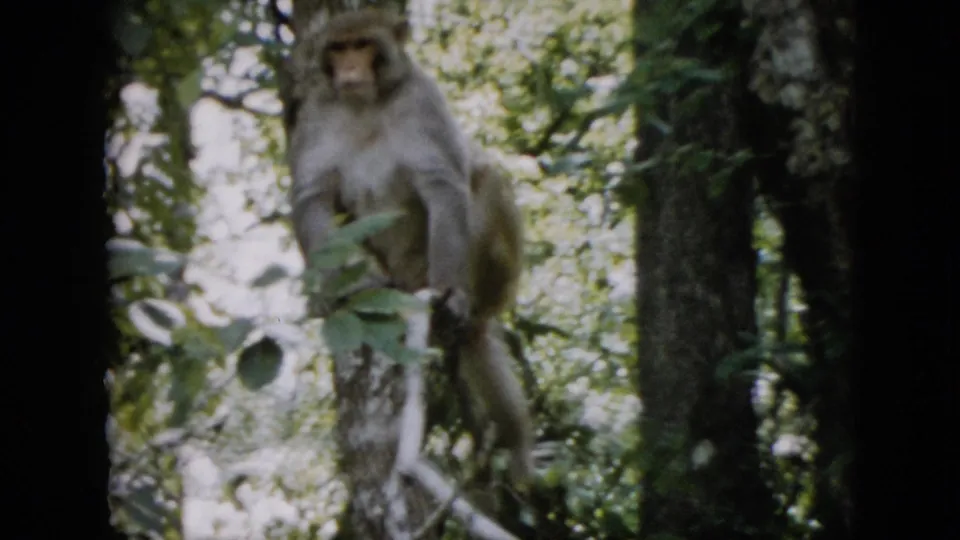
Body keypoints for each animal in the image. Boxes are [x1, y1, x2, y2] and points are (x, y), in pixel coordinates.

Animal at [285, 8, 534, 483]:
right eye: (339, 47)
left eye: (363, 44)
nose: (349, 67)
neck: (366, 103)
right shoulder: (317, 111)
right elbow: (314, 199)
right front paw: (337, 289)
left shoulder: (423, 99)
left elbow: (442, 184)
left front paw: (452, 294)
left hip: (477, 269)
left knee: (485, 180)